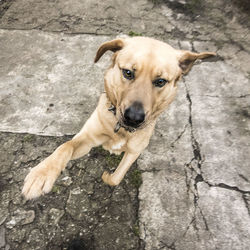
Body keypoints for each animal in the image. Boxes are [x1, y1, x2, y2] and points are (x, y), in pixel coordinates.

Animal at [21, 36, 215, 199]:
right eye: (128, 72)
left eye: (160, 82)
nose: (134, 118)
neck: (120, 129)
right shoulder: (87, 140)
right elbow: (65, 146)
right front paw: (42, 173)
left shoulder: (134, 152)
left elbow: (115, 178)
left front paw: (108, 176)